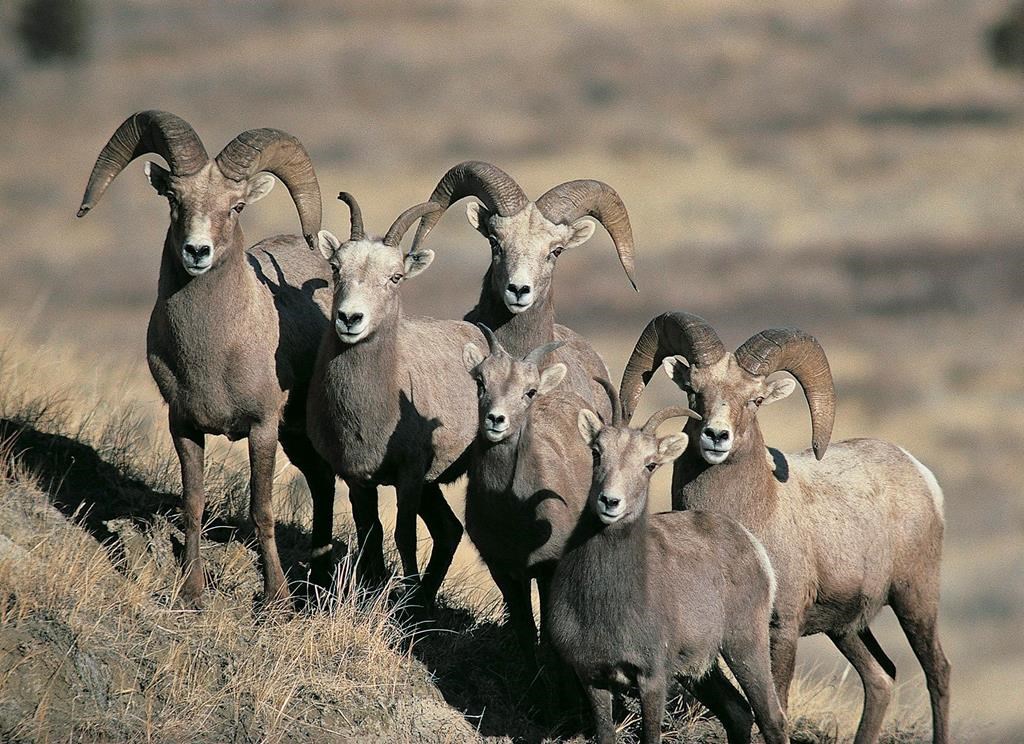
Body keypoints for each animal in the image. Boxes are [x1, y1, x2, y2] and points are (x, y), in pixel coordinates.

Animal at [76, 110, 354, 605]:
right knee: (322, 483)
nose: (197, 251)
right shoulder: (184, 425)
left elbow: (261, 509)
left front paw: (275, 599)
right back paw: (319, 577)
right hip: (297, 436)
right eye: (173, 198)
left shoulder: (261, 429)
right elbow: (193, 503)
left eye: (237, 206)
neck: (216, 350)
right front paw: (192, 592)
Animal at [307, 193, 485, 608]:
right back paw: (426, 600)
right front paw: (374, 590)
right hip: (432, 488)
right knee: (449, 530)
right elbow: (369, 533)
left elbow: (404, 536)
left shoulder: (410, 475)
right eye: (336, 268)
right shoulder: (358, 478)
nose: (350, 318)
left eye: (395, 277)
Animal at [548, 394, 788, 744]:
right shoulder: (593, 677)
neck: (606, 604)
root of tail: (751, 544)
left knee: (771, 718)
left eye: (650, 465)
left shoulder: (653, 678)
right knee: (739, 712)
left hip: (745, 646)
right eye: (596, 452)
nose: (610, 502)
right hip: (701, 671)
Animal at [619, 312, 950, 744]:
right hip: (846, 629)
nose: (716, 436)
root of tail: (919, 472)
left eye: (755, 400)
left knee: (938, 673)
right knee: (881, 678)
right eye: (693, 391)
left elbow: (774, 711)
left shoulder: (781, 629)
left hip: (915, 599)